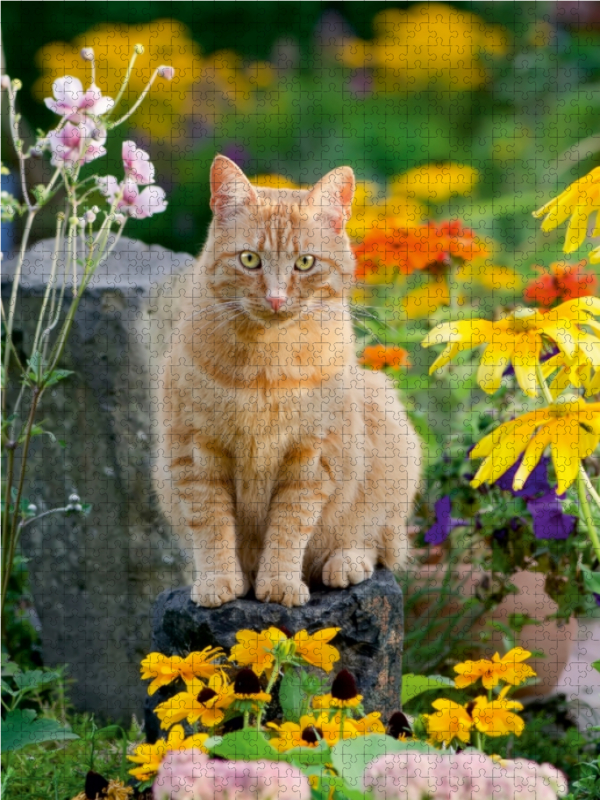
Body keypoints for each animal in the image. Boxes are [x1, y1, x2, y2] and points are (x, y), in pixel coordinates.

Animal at [158, 155, 422, 608]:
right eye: (249, 260)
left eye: (305, 262)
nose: (277, 298)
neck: (267, 364)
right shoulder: (195, 454)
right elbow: (211, 528)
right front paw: (217, 581)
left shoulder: (312, 458)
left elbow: (289, 528)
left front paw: (279, 583)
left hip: (386, 419)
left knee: (378, 541)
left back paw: (346, 561)